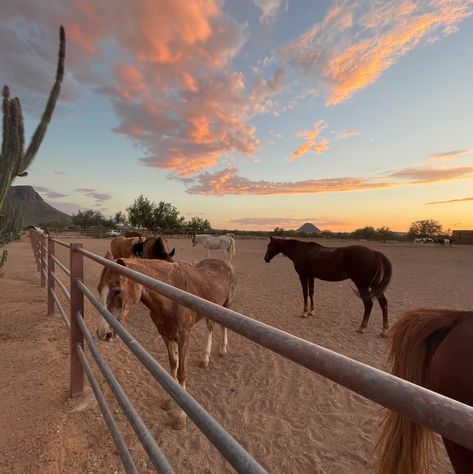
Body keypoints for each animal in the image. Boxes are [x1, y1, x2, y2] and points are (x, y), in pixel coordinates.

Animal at [96, 256, 236, 430]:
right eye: (99, 289)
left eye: (117, 290)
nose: (103, 333)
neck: (171, 298)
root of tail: (225, 263)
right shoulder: (166, 336)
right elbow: (173, 367)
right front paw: (170, 401)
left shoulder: (183, 337)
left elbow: (182, 372)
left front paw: (180, 417)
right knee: (210, 326)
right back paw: (205, 359)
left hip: (225, 305)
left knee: (223, 326)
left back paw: (222, 349)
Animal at [262, 237, 390, 336]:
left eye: (269, 245)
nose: (266, 259)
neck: (301, 250)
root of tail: (375, 253)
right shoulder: (311, 276)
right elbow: (311, 292)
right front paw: (312, 311)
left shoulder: (303, 276)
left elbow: (305, 293)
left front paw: (304, 312)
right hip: (375, 286)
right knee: (383, 303)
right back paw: (384, 330)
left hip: (362, 285)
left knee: (368, 304)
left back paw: (362, 327)